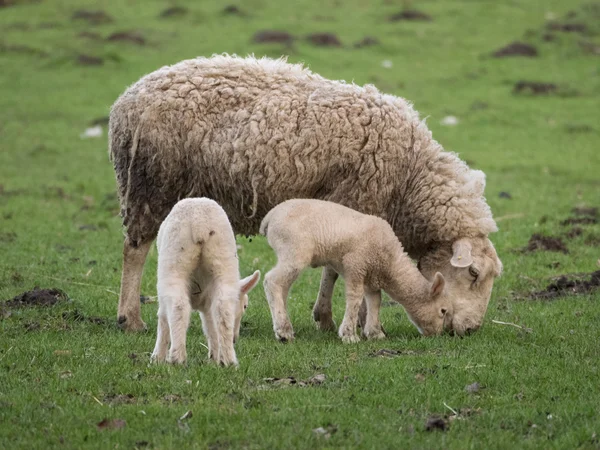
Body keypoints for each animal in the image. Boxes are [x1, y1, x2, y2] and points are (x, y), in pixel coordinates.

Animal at [150, 199, 260, 368]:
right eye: (245, 306)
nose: (235, 339)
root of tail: (199, 221)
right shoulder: (208, 303)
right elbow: (210, 326)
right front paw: (214, 357)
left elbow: (162, 318)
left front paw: (157, 358)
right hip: (223, 259)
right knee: (223, 309)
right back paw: (228, 360)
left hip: (173, 260)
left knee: (178, 306)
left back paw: (177, 358)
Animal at [260, 199, 452, 342]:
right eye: (443, 310)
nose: (438, 334)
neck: (390, 264)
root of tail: (270, 217)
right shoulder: (355, 265)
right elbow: (355, 298)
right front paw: (349, 334)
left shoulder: (372, 276)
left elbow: (375, 300)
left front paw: (375, 333)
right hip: (294, 251)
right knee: (271, 281)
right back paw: (284, 331)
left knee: (282, 287)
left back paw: (283, 324)